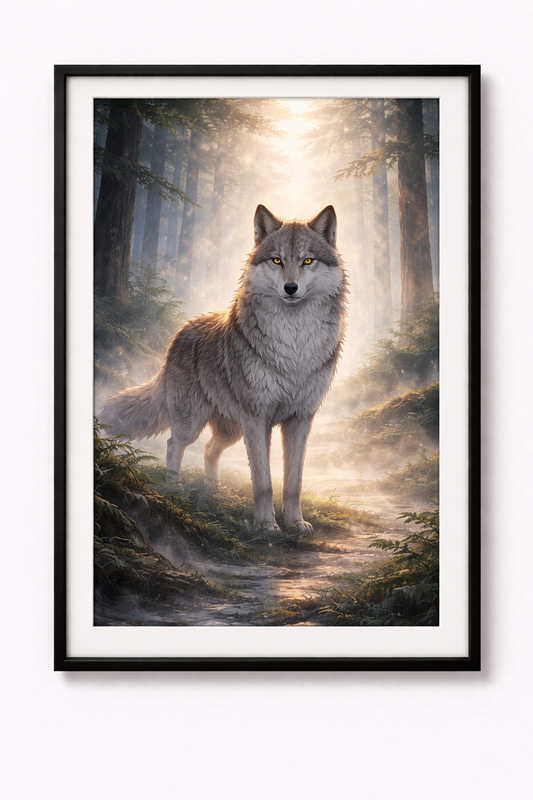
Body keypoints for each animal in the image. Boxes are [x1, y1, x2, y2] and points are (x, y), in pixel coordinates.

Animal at [102, 204, 347, 535]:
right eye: (277, 260)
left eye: (307, 260)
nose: (290, 288)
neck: (294, 345)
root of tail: (180, 333)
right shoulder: (257, 419)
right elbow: (263, 482)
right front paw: (266, 525)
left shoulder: (301, 419)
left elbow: (293, 482)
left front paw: (296, 522)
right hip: (194, 421)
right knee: (173, 444)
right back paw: (175, 489)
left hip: (231, 429)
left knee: (209, 449)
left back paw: (214, 491)